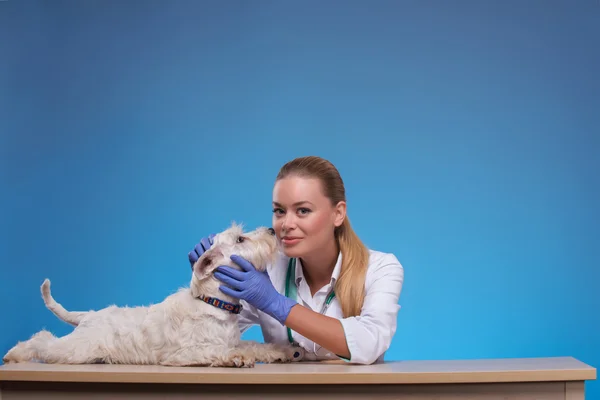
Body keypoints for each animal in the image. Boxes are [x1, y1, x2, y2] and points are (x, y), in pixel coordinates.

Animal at [2, 223, 302, 368]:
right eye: (240, 239)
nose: (272, 230)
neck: (212, 301)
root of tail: (88, 316)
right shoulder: (185, 353)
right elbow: (219, 350)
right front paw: (236, 359)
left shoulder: (234, 338)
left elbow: (255, 346)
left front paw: (283, 351)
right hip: (77, 350)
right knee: (42, 341)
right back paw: (13, 354)